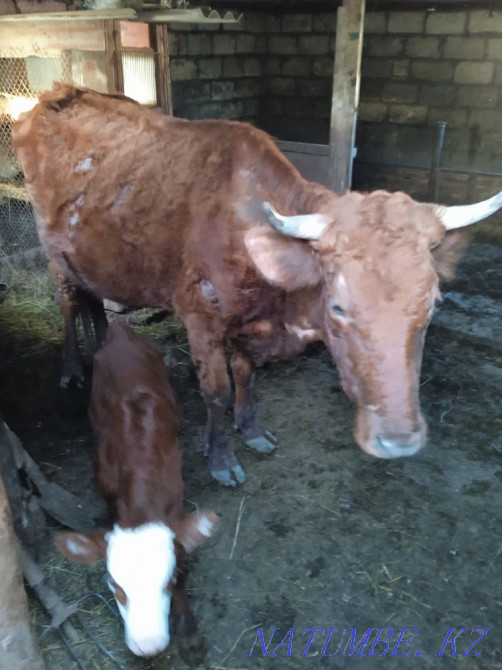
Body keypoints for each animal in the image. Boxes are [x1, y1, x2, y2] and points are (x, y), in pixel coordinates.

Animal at [12, 84, 502, 486]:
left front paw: (251, 431)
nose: (399, 442)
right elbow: (216, 390)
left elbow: (246, 376)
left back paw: (102, 348)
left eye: (433, 304)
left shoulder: (252, 324)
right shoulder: (201, 319)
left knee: (93, 297)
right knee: (68, 301)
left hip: (88, 251)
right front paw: (221, 459)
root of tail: (57, 94)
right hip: (51, 248)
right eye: (338, 307)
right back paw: (73, 369)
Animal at [55, 321, 219, 657]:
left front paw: (189, 634)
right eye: (115, 586)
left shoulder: (175, 504)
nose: (149, 646)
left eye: (169, 582)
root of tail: (120, 330)